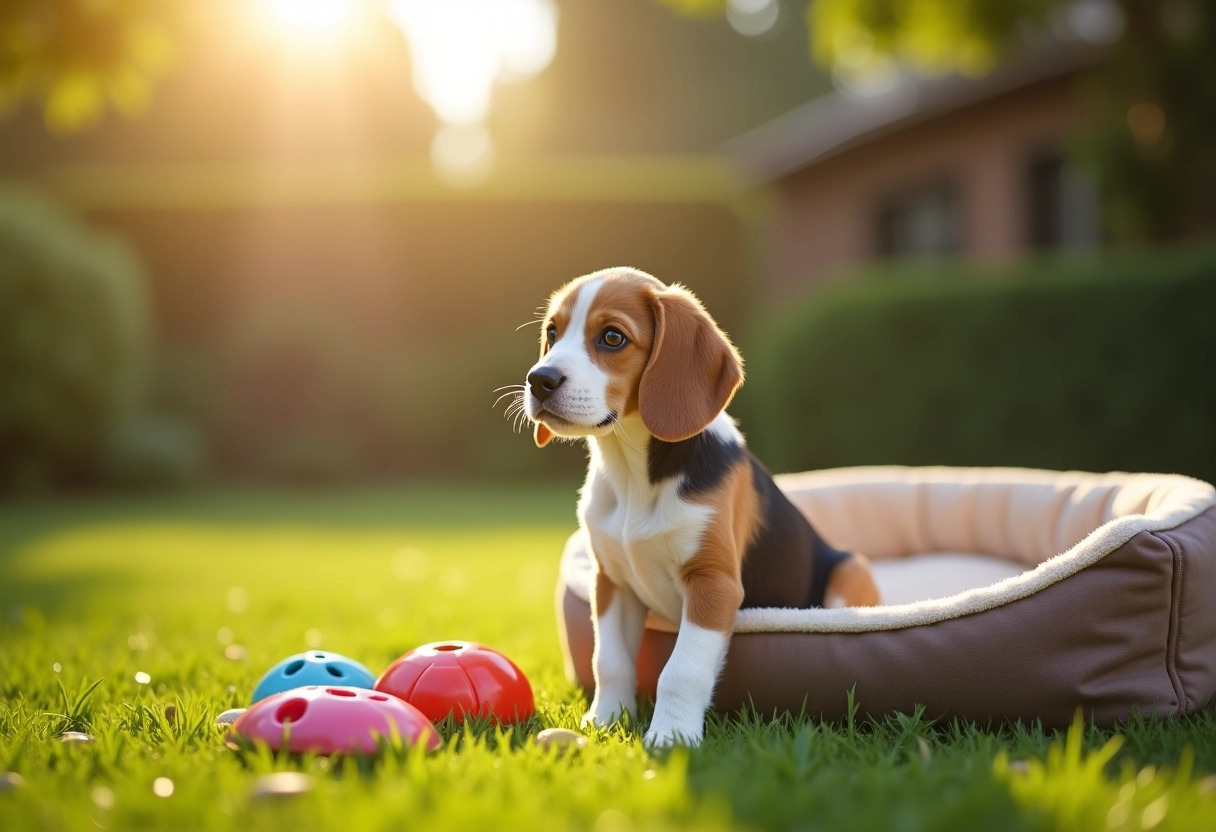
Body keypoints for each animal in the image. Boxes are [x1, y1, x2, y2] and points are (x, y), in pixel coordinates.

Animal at [522, 266, 875, 749]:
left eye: (612, 337)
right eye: (553, 333)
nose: (539, 380)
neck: (632, 472)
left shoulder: (713, 584)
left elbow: (682, 669)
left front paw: (670, 736)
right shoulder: (612, 583)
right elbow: (608, 660)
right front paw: (606, 719)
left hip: (850, 569)